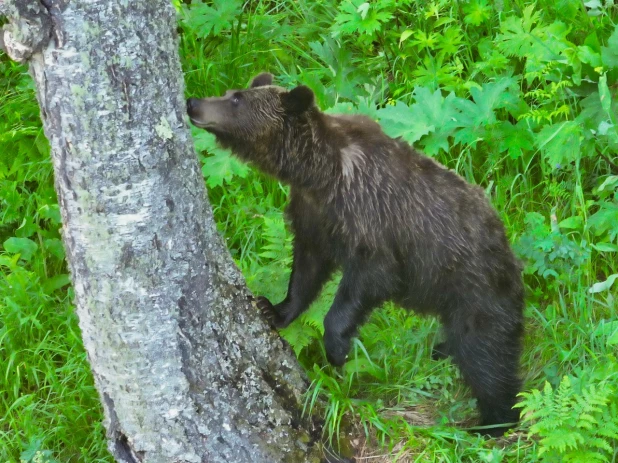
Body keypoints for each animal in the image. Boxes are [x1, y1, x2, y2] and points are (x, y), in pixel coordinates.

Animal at [185, 72, 524, 436]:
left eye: (236, 99)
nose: (193, 102)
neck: (319, 175)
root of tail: (506, 243)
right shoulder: (313, 216)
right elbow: (307, 268)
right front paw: (273, 309)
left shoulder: (370, 218)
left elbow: (371, 277)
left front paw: (337, 349)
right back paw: (444, 353)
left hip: (476, 288)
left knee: (486, 355)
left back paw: (492, 422)